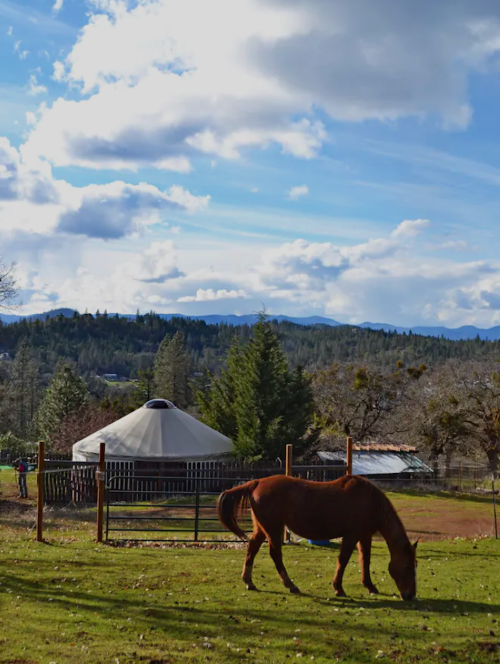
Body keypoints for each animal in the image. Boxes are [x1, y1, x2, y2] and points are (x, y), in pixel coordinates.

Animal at [217, 474, 418, 600]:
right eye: (407, 566)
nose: (410, 595)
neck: (371, 501)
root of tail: (257, 482)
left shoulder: (364, 536)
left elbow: (365, 560)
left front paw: (370, 586)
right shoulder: (351, 536)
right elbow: (343, 560)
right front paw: (338, 588)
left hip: (261, 528)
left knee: (252, 549)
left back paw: (249, 582)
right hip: (273, 528)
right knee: (276, 555)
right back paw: (290, 585)